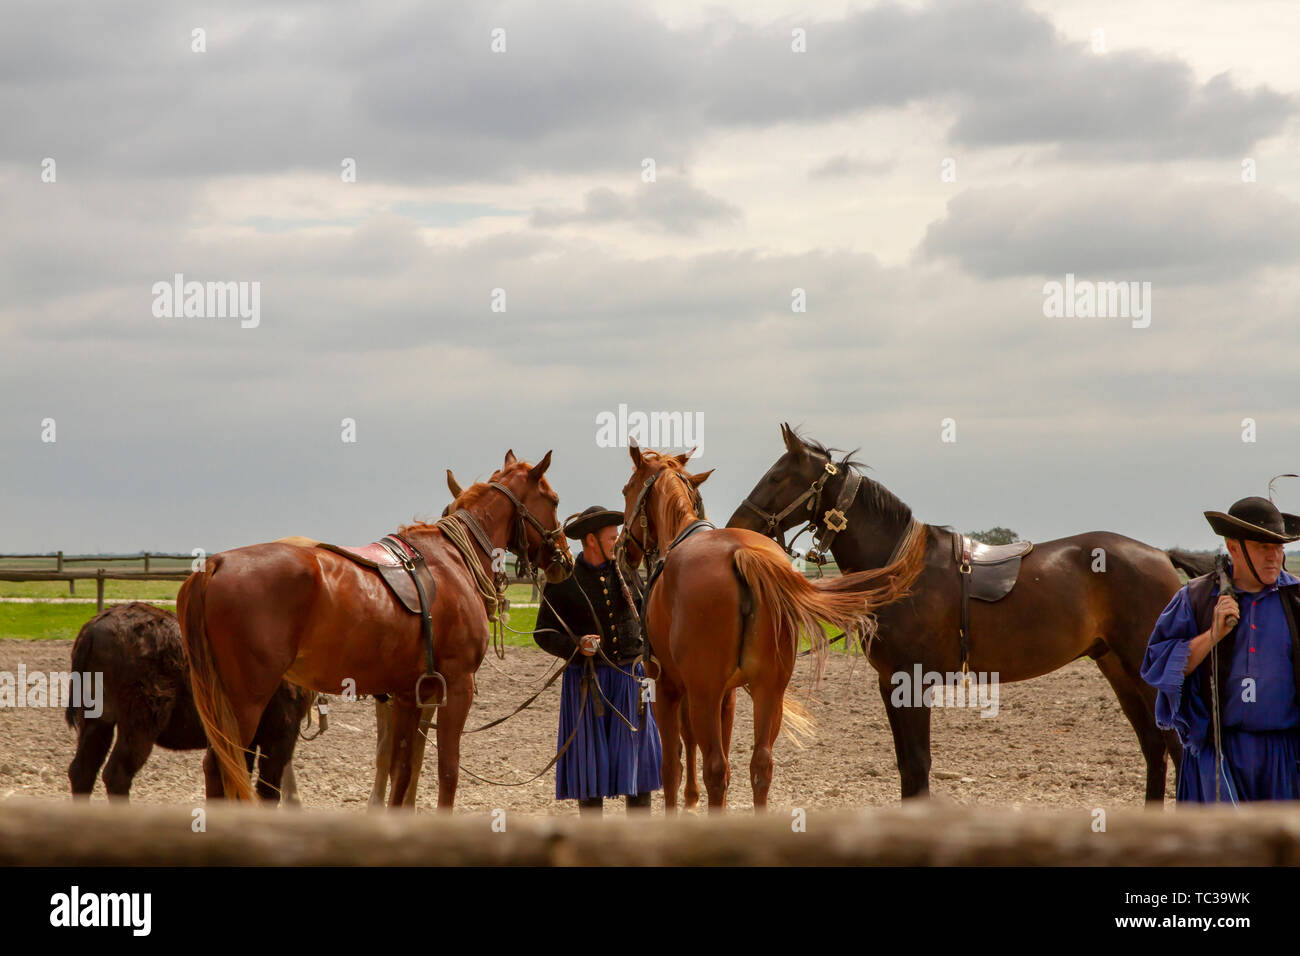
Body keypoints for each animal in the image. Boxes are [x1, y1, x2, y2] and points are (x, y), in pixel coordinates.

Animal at [180, 450, 572, 806]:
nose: (565, 559)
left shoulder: (409, 693)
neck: (455, 561)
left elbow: (402, 770)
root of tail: (213, 566)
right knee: (226, 768)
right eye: (554, 499)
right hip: (245, 701)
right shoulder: (457, 686)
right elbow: (447, 772)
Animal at [618, 444, 925, 811]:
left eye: (627, 489)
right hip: (768, 690)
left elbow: (671, 765)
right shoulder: (727, 695)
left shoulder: (668, 687)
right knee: (760, 765)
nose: (623, 548)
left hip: (708, 693)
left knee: (716, 769)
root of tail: (742, 554)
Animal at [728, 421, 1190, 806]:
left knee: (1177, 748)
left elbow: (918, 765)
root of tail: (1162, 557)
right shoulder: (890, 683)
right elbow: (907, 767)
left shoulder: (912, 682)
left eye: (776, 477)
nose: (739, 524)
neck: (902, 566)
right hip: (1117, 667)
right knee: (1154, 747)